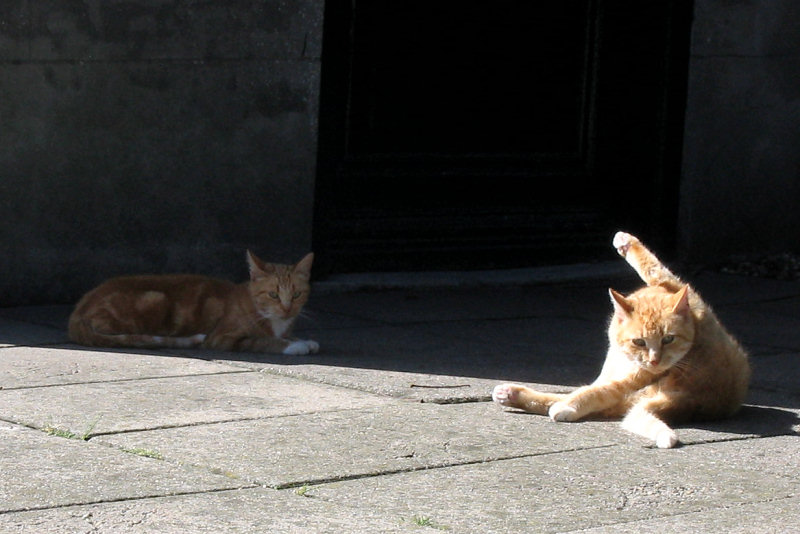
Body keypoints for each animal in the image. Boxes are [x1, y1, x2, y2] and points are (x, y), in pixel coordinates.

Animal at [69, 251, 318, 356]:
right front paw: (294, 345)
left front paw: (302, 340)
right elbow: (261, 340)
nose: (287, 309)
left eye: (297, 294)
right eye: (273, 295)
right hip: (154, 299)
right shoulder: (221, 339)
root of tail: (78, 311)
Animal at [494, 232, 752, 450]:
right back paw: (511, 394)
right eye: (639, 342)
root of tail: (695, 402)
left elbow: (653, 267)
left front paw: (626, 242)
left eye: (668, 339)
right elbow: (587, 389)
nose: (655, 361)